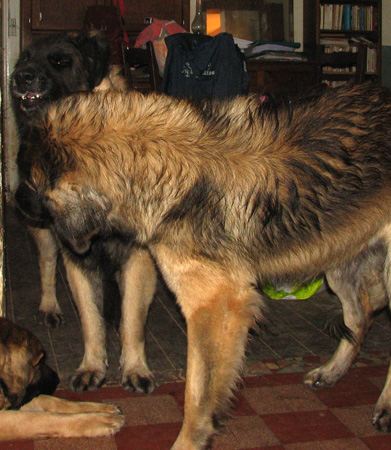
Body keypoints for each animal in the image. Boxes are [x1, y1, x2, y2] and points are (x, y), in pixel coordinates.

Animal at [15, 83, 391, 450]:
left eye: (30, 182)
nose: (15, 202)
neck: (158, 163)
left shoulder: (215, 306)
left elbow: (196, 395)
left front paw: (189, 441)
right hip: (338, 253)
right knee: (361, 315)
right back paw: (331, 372)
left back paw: (383, 407)